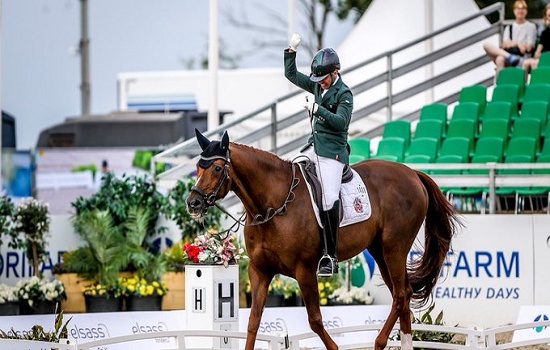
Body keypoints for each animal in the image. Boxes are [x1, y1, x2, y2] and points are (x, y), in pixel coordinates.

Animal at [188, 131, 464, 350]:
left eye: (216, 168)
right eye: (198, 167)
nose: (193, 203)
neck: (274, 204)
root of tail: (412, 173)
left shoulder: (305, 270)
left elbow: (315, 320)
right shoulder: (259, 271)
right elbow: (253, 321)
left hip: (394, 248)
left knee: (400, 295)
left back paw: (378, 343)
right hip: (380, 251)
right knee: (403, 294)